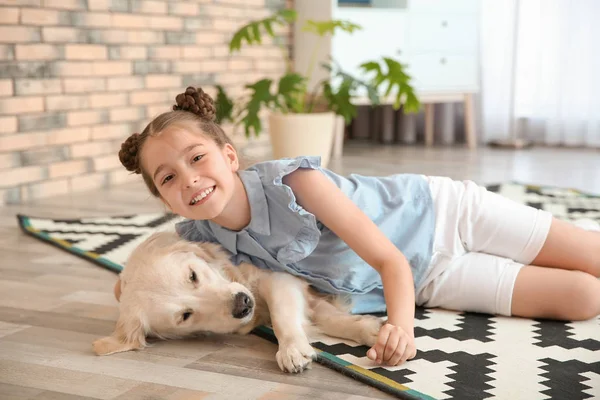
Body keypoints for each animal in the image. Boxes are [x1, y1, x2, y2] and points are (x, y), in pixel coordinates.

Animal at [94, 231, 384, 372]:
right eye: (185, 316)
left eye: (192, 275)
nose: (243, 304)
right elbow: (325, 316)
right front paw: (371, 330)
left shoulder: (277, 276)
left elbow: (284, 315)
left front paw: (291, 349)